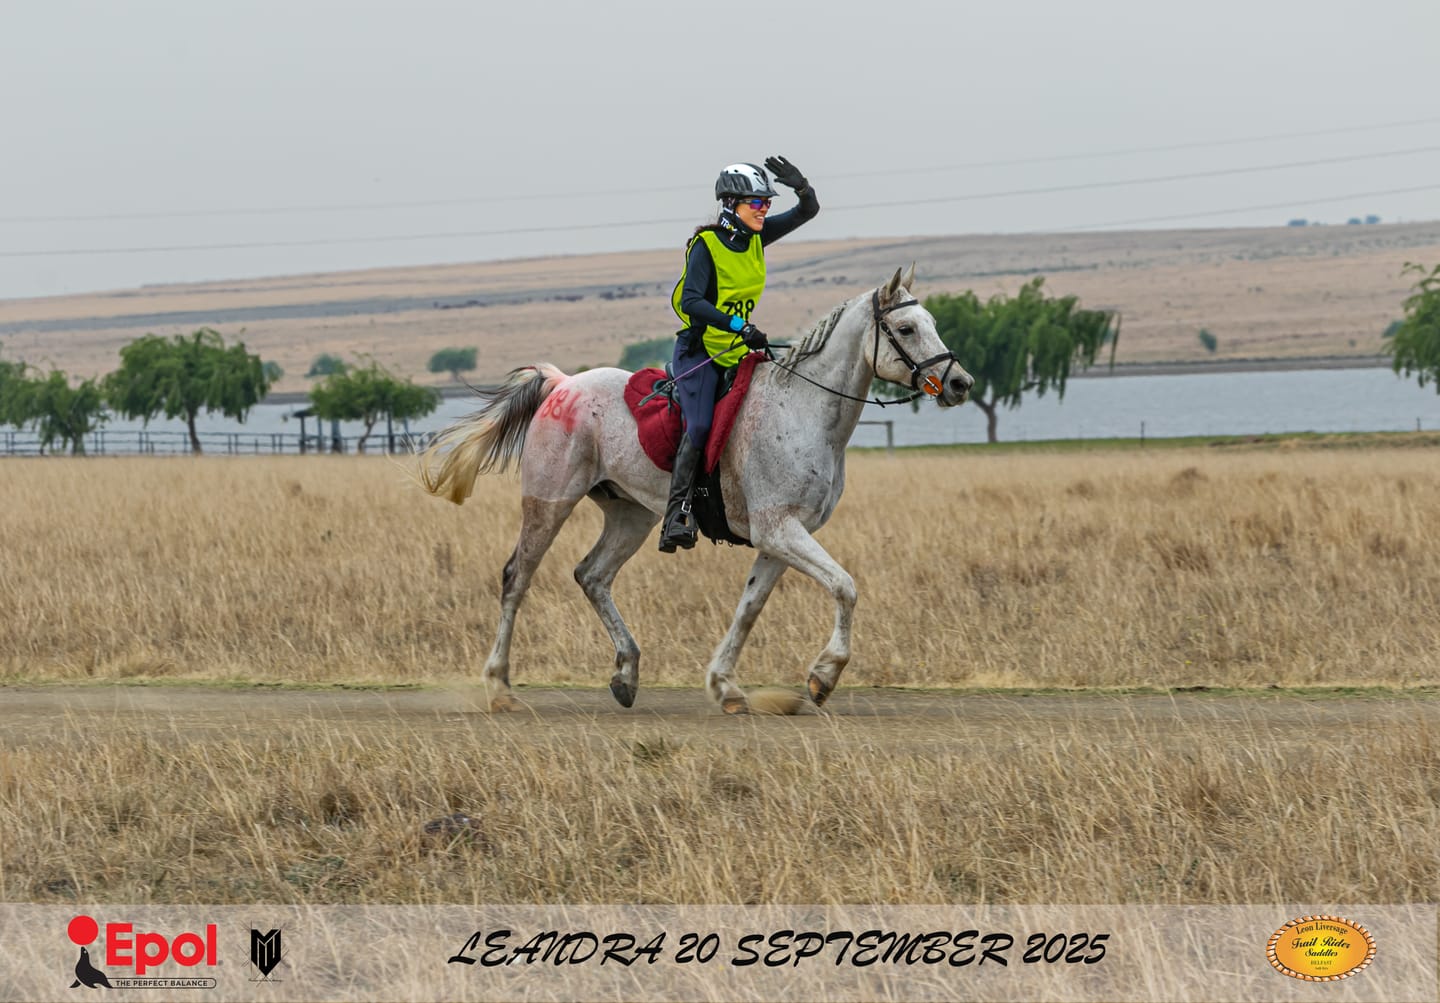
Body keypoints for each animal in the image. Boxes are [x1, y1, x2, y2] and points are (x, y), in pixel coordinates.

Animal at [417, 266, 973, 713]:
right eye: (906, 328)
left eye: (932, 323)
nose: (960, 383)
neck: (803, 409)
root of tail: (563, 383)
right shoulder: (780, 530)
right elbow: (844, 586)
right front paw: (823, 676)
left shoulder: (781, 539)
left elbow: (749, 609)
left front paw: (725, 687)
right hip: (549, 503)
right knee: (517, 578)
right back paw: (499, 688)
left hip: (632, 515)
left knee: (592, 575)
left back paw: (626, 674)